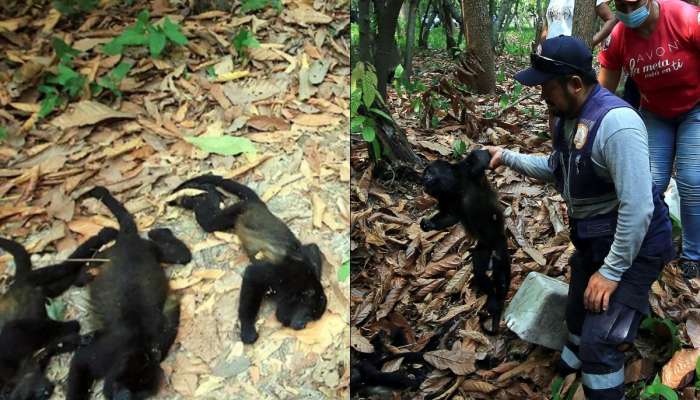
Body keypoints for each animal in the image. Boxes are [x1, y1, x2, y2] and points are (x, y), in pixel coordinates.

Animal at [0, 228, 117, 400]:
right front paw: (80, 339)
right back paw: (84, 275)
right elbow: (53, 346)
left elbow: (15, 329)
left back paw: (103, 237)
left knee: (63, 267)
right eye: (31, 397)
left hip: (34, 278)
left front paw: (75, 327)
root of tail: (14, 286)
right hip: (44, 289)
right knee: (65, 280)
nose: (45, 391)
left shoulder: (12, 341)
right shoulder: (34, 362)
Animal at [66, 188, 191, 400]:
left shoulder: (160, 344)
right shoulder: (107, 352)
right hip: (110, 253)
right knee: (87, 271)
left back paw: (161, 233)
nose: (122, 398)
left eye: (139, 396)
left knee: (181, 256)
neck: (137, 347)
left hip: (150, 249)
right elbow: (80, 362)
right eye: (123, 391)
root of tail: (130, 240)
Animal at [171, 175, 326, 344]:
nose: (303, 325)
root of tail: (259, 205)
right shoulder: (281, 274)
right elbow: (252, 275)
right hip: (239, 209)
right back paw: (200, 195)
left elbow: (312, 247)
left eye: (311, 319)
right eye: (309, 315)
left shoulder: (307, 262)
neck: (300, 284)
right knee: (210, 221)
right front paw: (247, 329)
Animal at [418, 149, 512, 334]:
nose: (423, 179)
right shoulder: (445, 199)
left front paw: (484, 157)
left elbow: (480, 158)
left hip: (499, 245)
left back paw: (498, 302)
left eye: (428, 172)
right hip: (483, 249)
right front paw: (428, 224)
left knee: (501, 272)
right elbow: (451, 216)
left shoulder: (464, 171)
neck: (455, 187)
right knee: (481, 271)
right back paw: (493, 301)